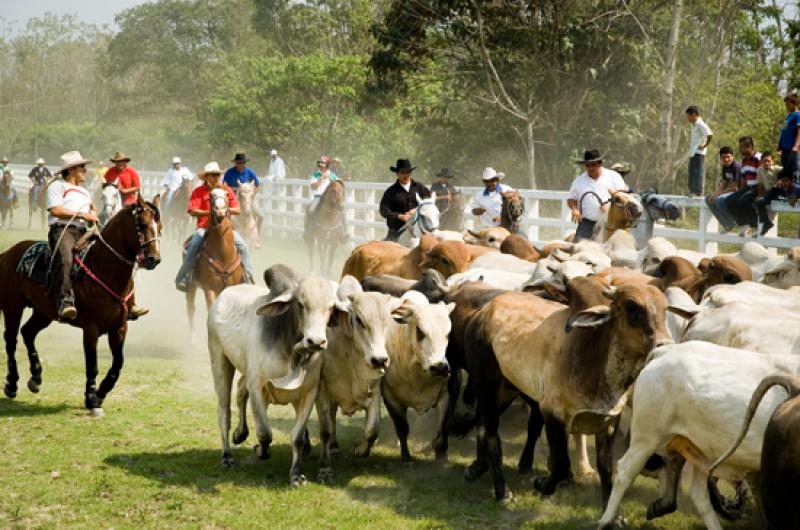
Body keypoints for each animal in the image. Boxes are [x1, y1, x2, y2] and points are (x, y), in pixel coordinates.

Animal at [0, 194, 161, 412]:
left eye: (159, 226)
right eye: (142, 224)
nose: (154, 259)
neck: (104, 268)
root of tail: (8, 253)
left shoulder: (120, 328)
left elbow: (118, 364)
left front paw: (100, 393)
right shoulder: (91, 328)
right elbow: (92, 364)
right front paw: (92, 398)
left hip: (44, 312)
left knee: (28, 332)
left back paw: (36, 378)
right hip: (12, 307)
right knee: (10, 340)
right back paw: (11, 384)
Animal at [185, 188, 242, 332]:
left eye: (227, 195)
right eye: (210, 196)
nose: (220, 210)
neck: (223, 255)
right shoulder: (209, 289)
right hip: (191, 286)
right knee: (190, 310)